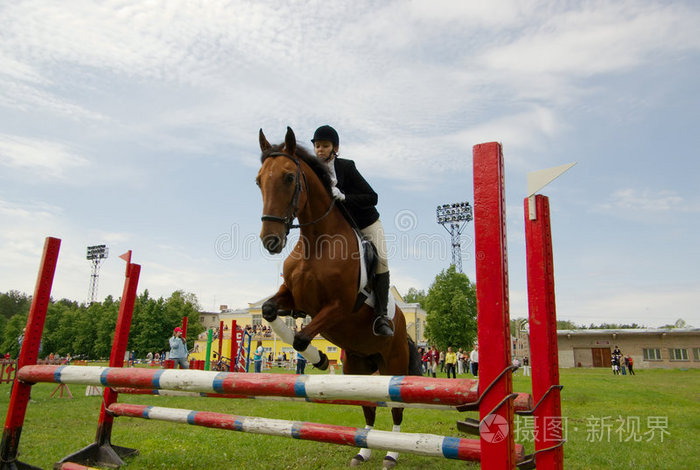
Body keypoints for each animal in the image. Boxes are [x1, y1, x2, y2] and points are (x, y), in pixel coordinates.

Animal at [258, 126, 422, 466]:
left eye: (289, 178)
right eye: (259, 180)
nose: (271, 240)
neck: (316, 242)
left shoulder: (338, 308)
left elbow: (301, 338)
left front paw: (319, 359)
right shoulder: (294, 299)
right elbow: (269, 311)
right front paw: (319, 359)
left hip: (394, 363)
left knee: (396, 409)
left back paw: (391, 454)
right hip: (358, 365)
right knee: (369, 408)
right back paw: (363, 451)